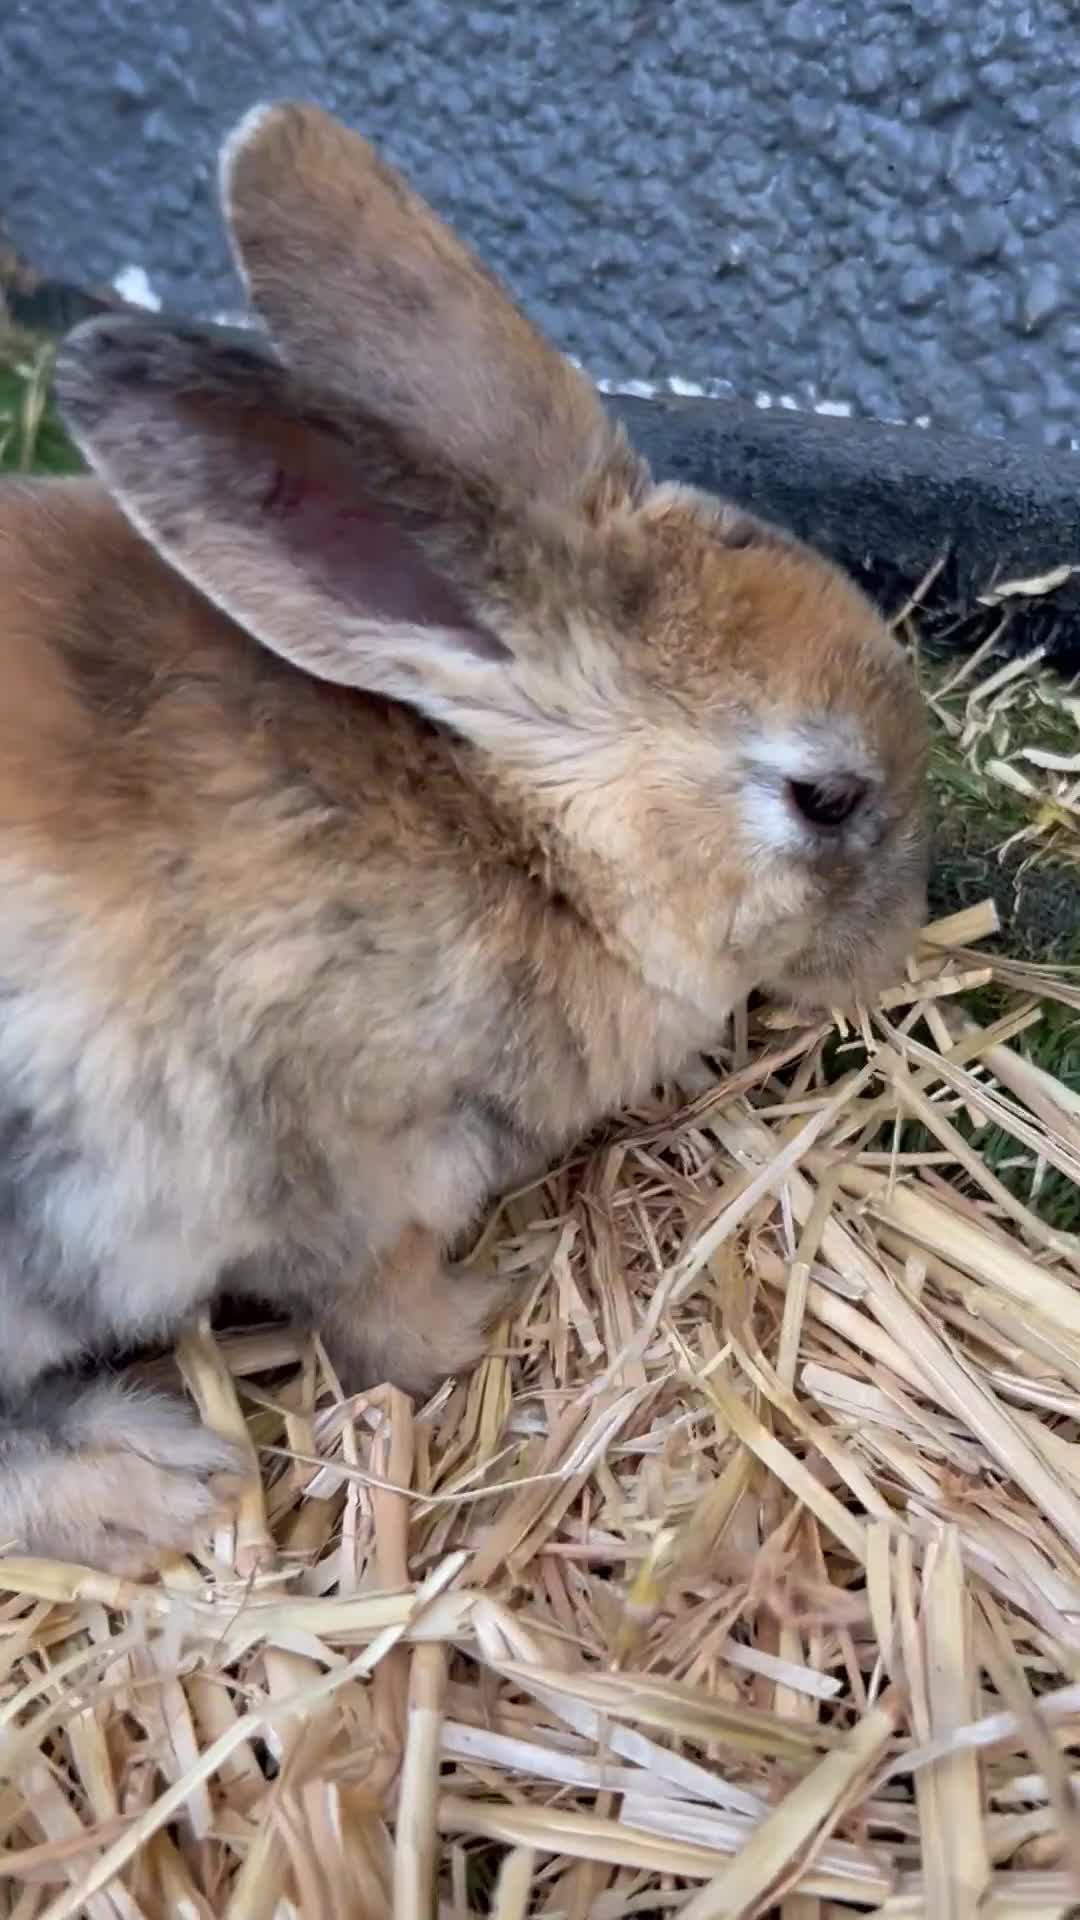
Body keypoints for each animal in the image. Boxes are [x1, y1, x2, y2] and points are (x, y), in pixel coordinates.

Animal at [0, 100, 927, 1572]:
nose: (893, 950)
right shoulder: (339, 1179)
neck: (536, 846)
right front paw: (482, 1318)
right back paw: (151, 1479)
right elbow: (380, 1320)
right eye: (824, 799)